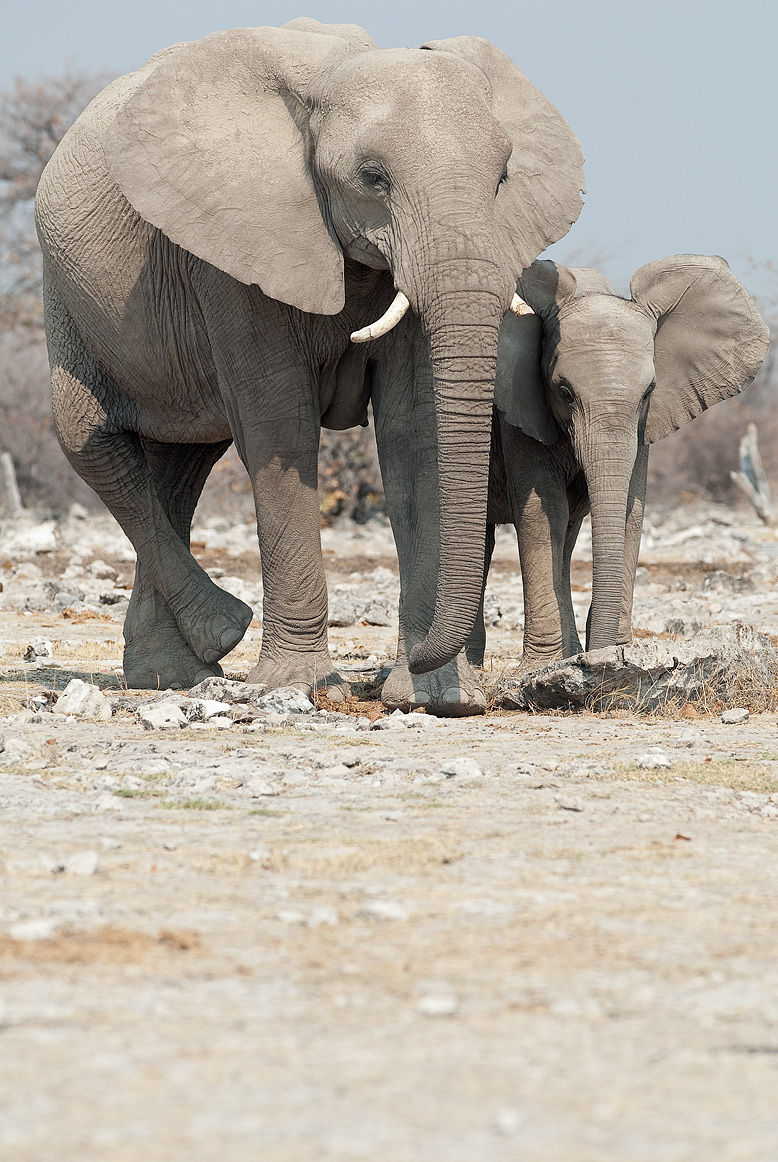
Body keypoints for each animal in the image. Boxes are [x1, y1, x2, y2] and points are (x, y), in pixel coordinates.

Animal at [35, 18, 584, 715]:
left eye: (503, 177)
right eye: (373, 177)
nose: (419, 660)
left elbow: (414, 430)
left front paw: (434, 694)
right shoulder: (235, 245)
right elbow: (280, 424)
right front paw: (298, 686)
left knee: (180, 461)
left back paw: (172, 673)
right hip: (66, 290)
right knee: (91, 438)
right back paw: (220, 635)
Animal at [467, 255, 770, 670]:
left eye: (648, 392)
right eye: (564, 392)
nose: (600, 655)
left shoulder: (644, 424)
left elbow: (629, 507)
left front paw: (614, 656)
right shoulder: (520, 406)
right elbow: (544, 510)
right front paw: (542, 666)